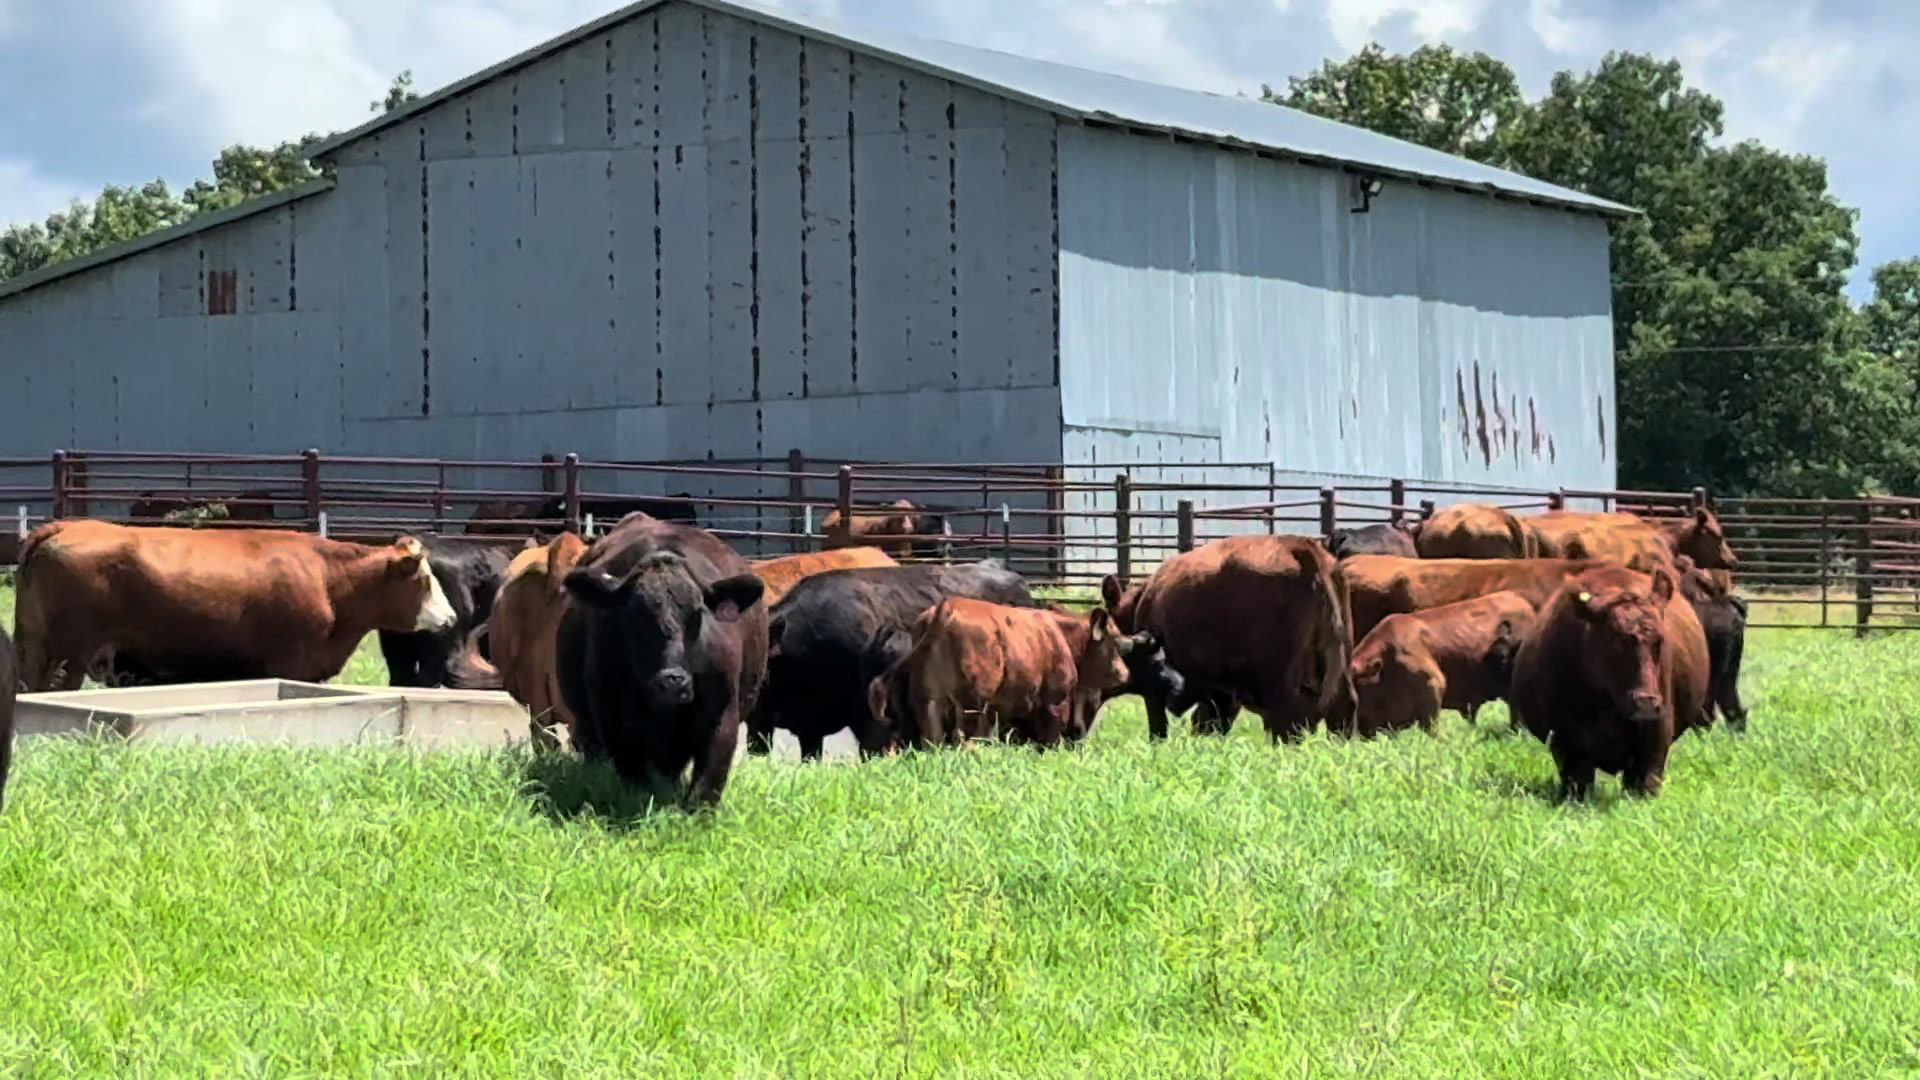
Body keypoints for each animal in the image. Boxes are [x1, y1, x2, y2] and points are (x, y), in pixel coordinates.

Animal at [12, 520, 457, 692]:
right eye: (424, 580)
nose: (452, 617)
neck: (328, 578)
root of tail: (69, 525)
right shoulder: (289, 665)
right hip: (67, 658)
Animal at [554, 514, 766, 808]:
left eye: (697, 613)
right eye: (634, 615)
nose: (672, 681)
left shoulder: (723, 713)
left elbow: (707, 785)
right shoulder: (613, 719)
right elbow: (637, 778)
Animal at [869, 598, 1149, 749]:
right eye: (1115, 643)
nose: (1124, 673)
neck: (1061, 637)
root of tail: (946, 608)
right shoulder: (1054, 705)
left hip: (932, 705)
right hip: (973, 709)